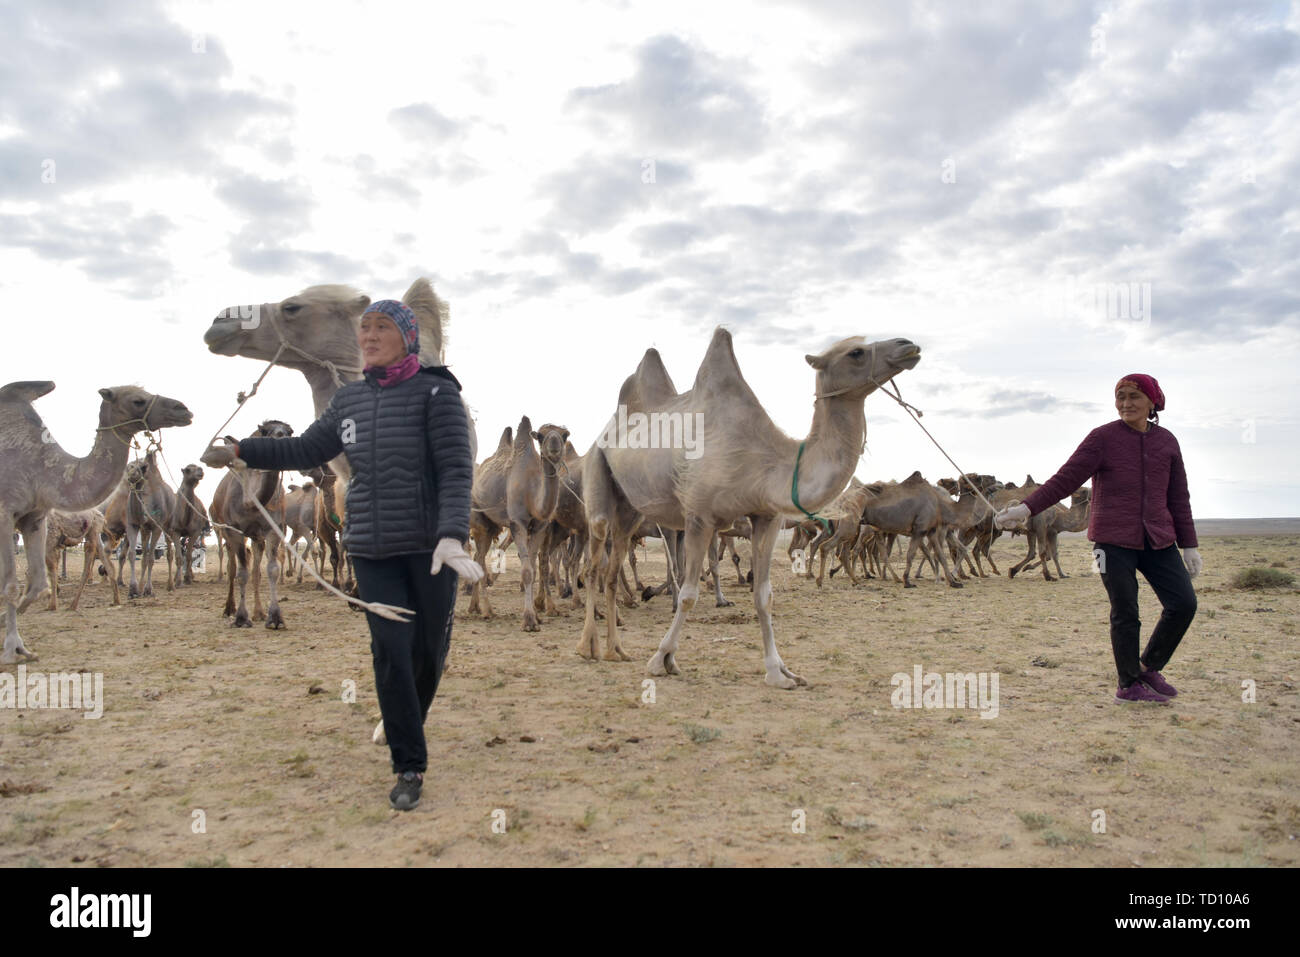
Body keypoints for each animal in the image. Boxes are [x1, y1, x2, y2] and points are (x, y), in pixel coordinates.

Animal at [574, 328, 920, 686]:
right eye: (856, 353)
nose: (908, 346)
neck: (768, 462)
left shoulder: (767, 516)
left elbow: (764, 596)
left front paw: (780, 672)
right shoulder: (699, 516)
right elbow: (688, 594)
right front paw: (662, 659)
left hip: (630, 509)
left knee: (612, 565)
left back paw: (616, 650)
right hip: (597, 469)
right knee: (594, 557)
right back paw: (588, 647)